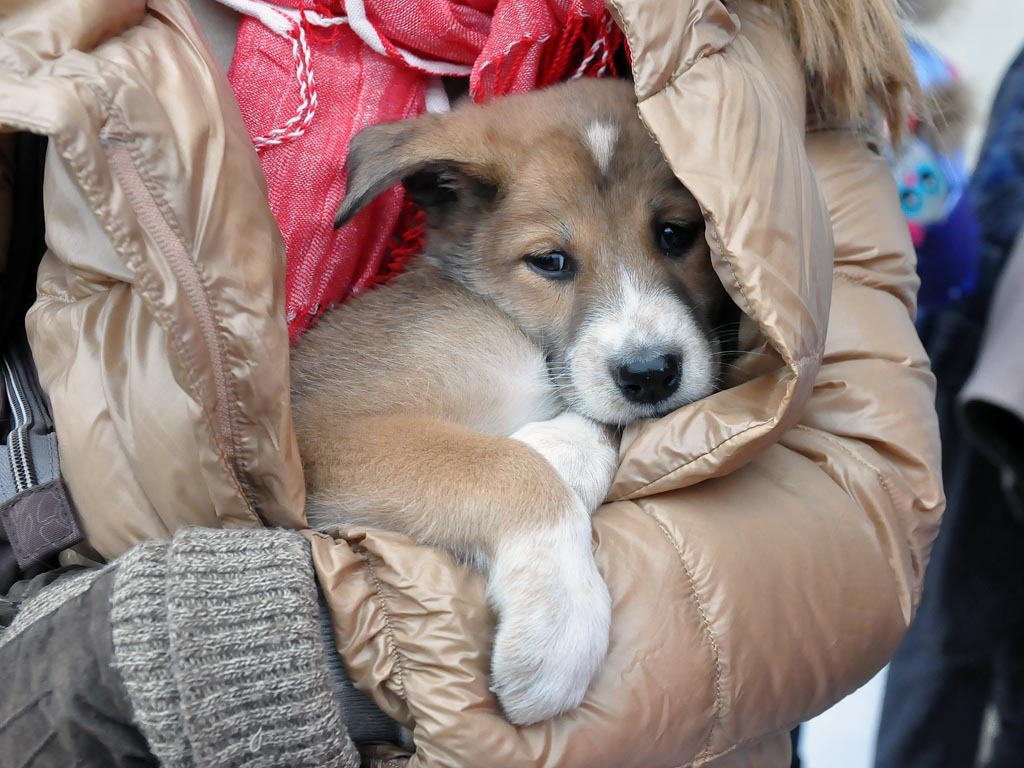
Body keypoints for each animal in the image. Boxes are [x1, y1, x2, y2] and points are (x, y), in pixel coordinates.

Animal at [290, 78, 737, 729]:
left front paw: (557, 446)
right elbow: (507, 469)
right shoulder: (323, 429)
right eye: (550, 260)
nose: (651, 375)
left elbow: (578, 427)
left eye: (677, 233)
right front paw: (558, 630)